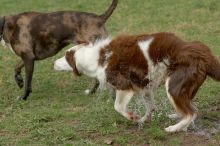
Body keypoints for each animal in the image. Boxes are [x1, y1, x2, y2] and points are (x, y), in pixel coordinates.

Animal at [53, 32, 220, 133]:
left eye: (66, 56)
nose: (53, 63)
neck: (96, 57)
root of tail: (204, 54)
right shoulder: (144, 86)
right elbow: (150, 106)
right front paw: (144, 119)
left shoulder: (124, 85)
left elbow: (118, 106)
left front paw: (132, 116)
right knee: (192, 109)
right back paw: (177, 117)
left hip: (174, 85)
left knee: (191, 113)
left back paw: (173, 128)